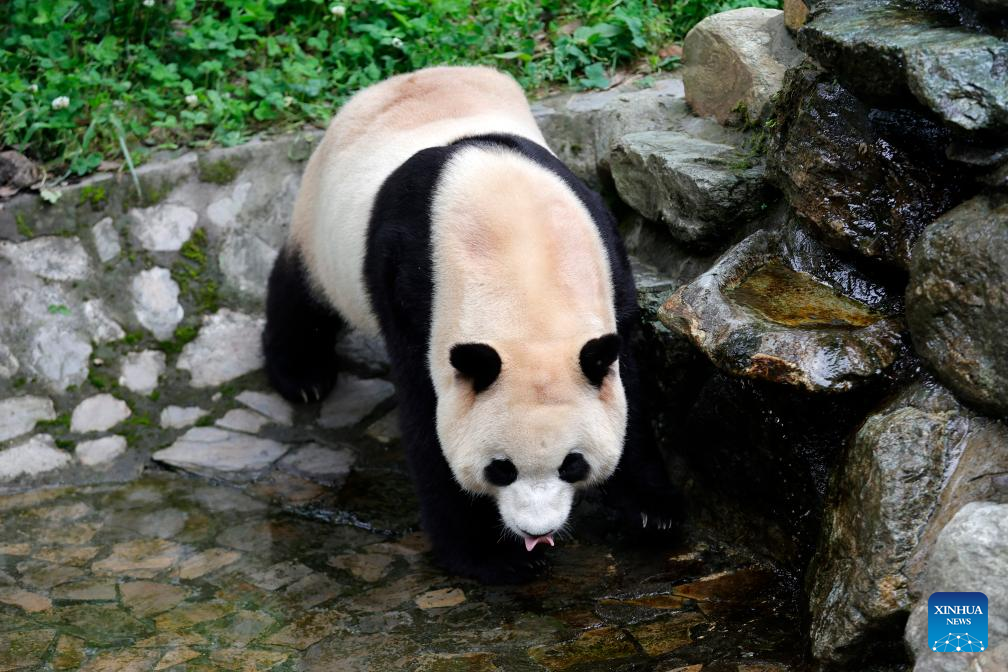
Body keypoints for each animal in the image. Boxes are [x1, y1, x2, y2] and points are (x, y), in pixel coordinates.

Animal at [266, 65, 677, 584]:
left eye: (572, 465)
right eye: (501, 469)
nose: (536, 532)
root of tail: (412, 76)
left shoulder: (606, 254)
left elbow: (629, 386)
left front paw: (651, 513)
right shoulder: (414, 288)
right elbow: (428, 414)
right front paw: (490, 554)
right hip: (324, 221)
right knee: (302, 292)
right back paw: (301, 377)